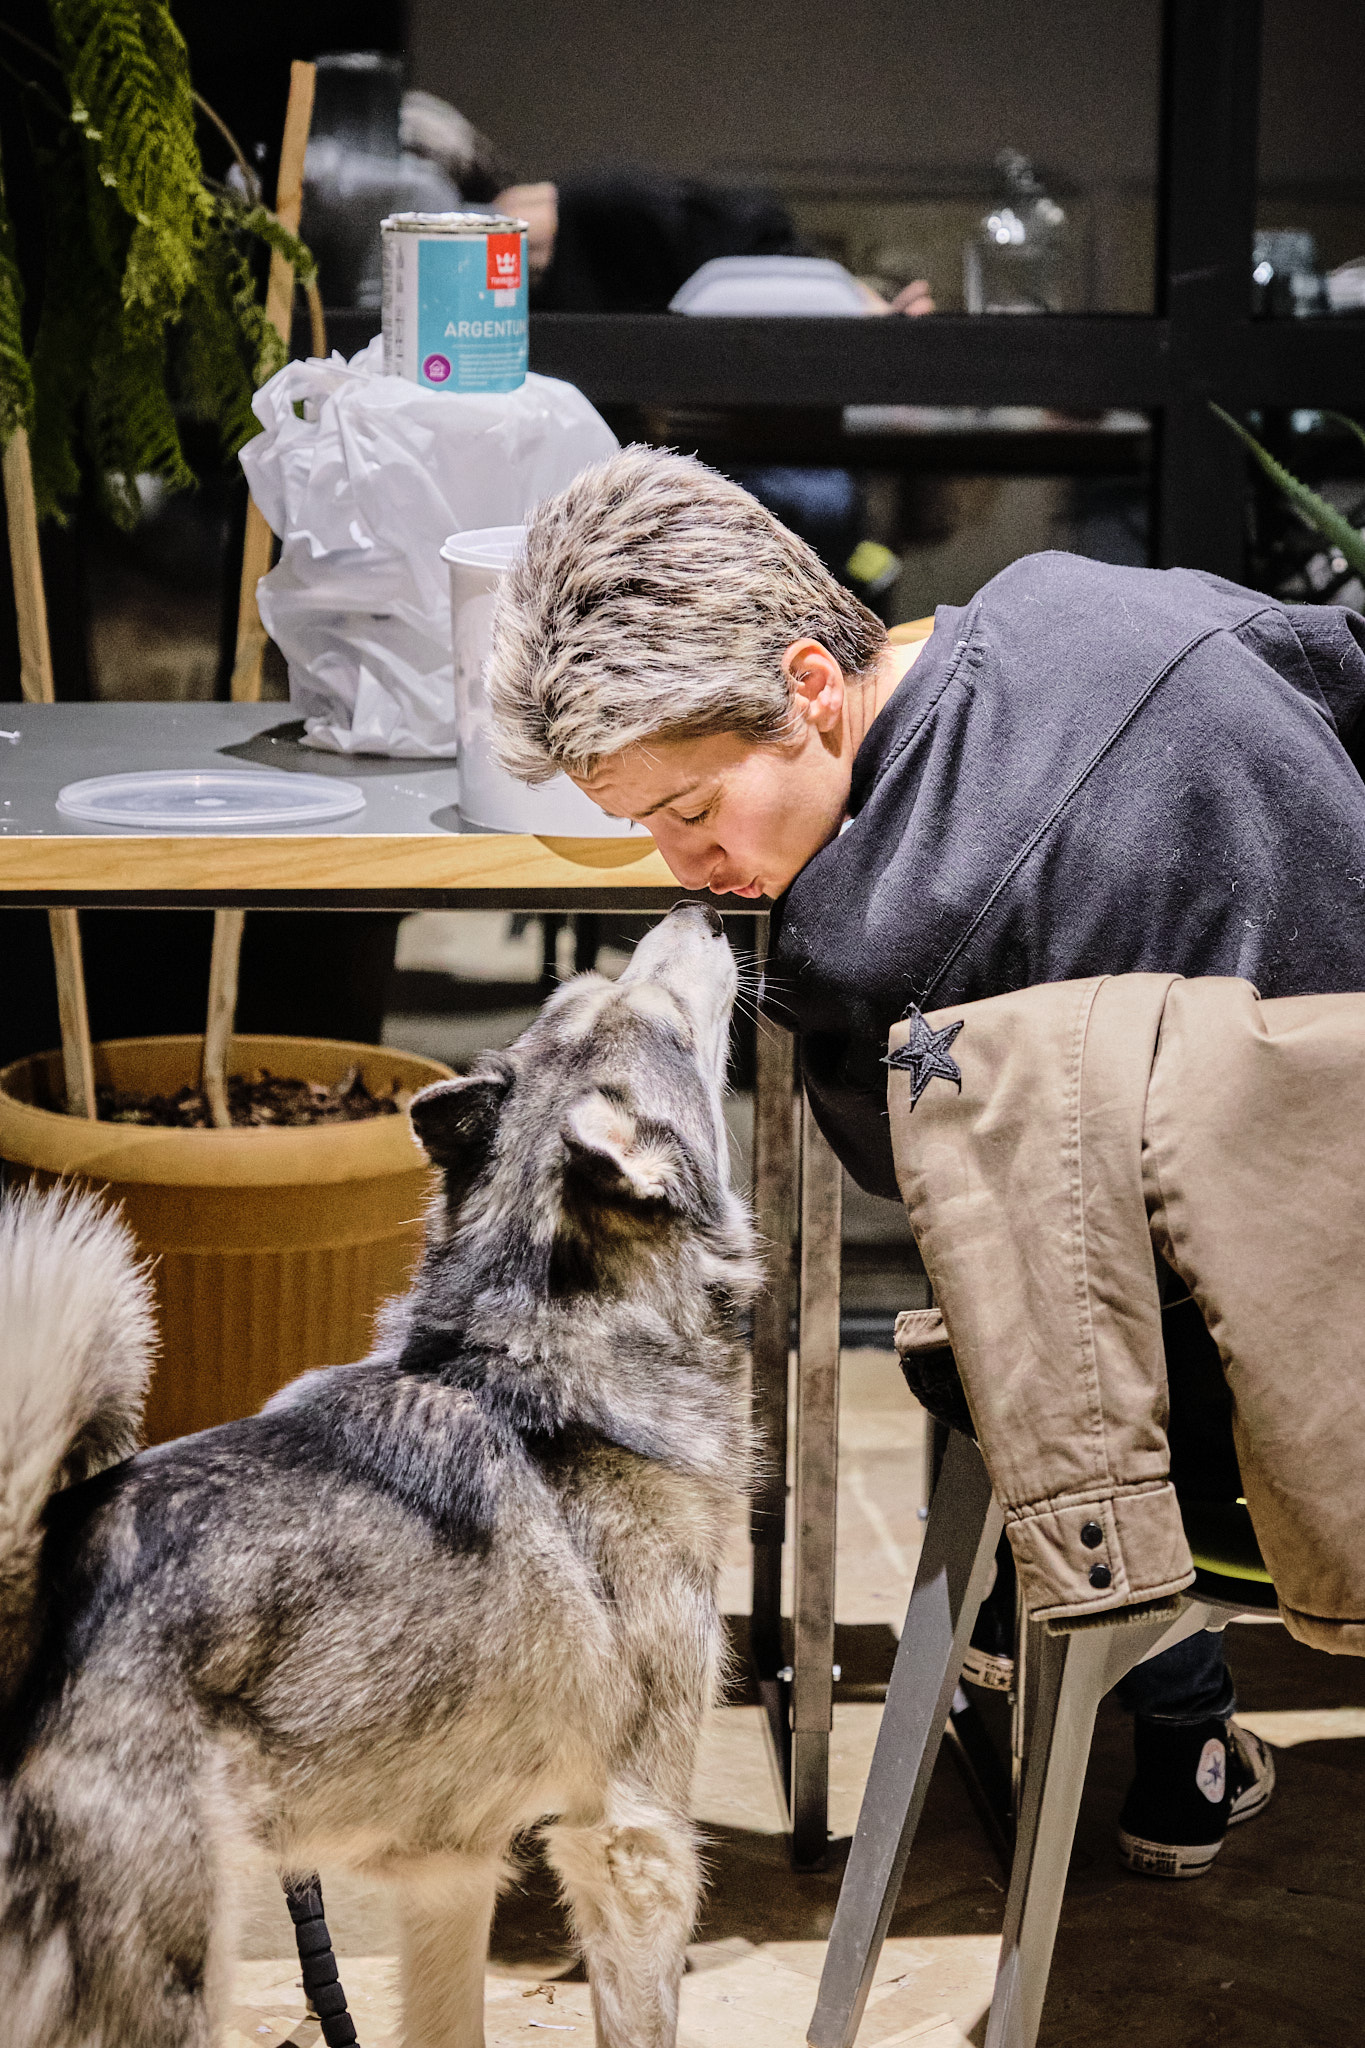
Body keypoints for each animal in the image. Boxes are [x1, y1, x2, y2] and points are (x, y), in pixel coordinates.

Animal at [0, 902, 759, 2048]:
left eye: (594, 990)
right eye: (664, 1015)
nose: (698, 908)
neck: (529, 1355)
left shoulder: (452, 1874)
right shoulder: (634, 1845)